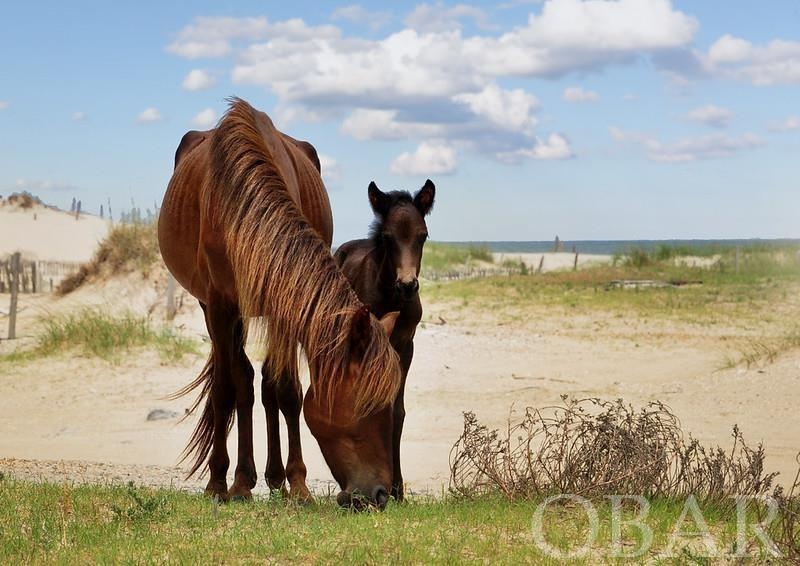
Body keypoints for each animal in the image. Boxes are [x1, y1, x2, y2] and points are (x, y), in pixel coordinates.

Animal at [160, 97, 404, 510]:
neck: (240, 205)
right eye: (368, 406)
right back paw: (236, 480)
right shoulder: (220, 306)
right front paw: (224, 484)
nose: (379, 494)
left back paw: (274, 479)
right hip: (213, 311)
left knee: (266, 385)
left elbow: (286, 390)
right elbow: (227, 389)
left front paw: (298, 485)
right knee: (240, 381)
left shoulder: (283, 304)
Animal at [332, 180, 434, 500]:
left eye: (423, 235)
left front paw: (398, 489)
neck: (392, 298)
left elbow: (397, 412)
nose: (407, 285)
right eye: (388, 237)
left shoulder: (405, 347)